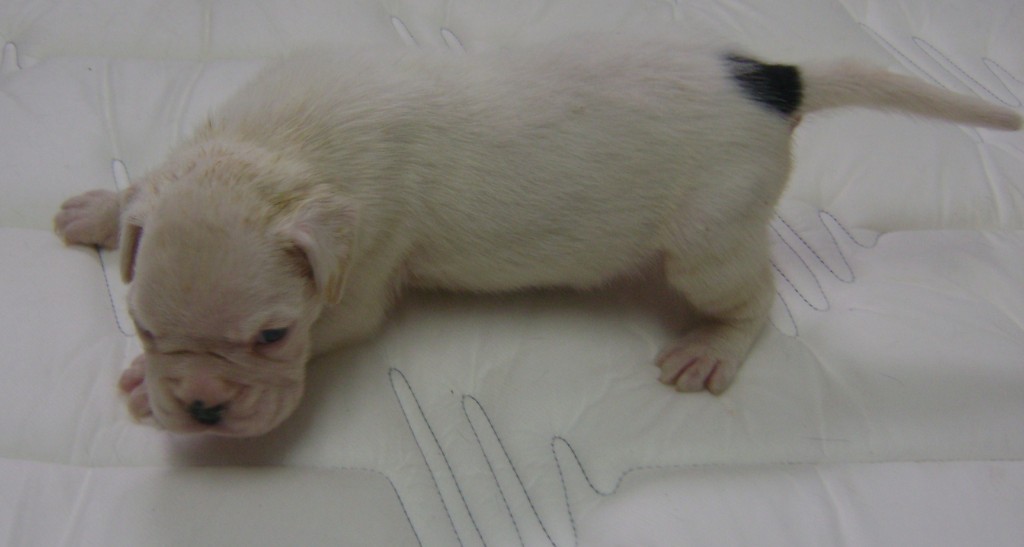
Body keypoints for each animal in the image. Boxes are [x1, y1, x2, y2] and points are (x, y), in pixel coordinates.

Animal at [54, 34, 1021, 436]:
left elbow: (348, 319)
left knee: (755, 291)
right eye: (144, 322)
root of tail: (778, 79)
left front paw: (145, 390)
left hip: (708, 242)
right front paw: (103, 208)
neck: (278, 150)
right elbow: (145, 184)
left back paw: (713, 346)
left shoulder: (358, 283)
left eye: (273, 336)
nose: (203, 406)